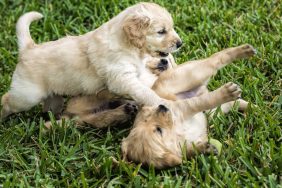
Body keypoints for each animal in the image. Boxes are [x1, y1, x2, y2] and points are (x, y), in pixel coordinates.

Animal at [0, 2, 181, 119]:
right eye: (161, 31)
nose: (180, 43)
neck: (127, 45)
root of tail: (28, 48)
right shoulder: (121, 78)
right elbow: (144, 91)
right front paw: (163, 102)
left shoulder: (137, 72)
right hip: (27, 95)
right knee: (7, 100)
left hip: (53, 96)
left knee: (50, 108)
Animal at [121, 44, 256, 169]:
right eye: (159, 130)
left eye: (148, 114)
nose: (161, 106)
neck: (177, 133)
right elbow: (192, 150)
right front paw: (205, 149)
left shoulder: (184, 107)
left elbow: (204, 101)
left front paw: (224, 93)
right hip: (213, 111)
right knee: (235, 103)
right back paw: (253, 107)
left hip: (192, 74)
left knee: (217, 58)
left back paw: (245, 50)